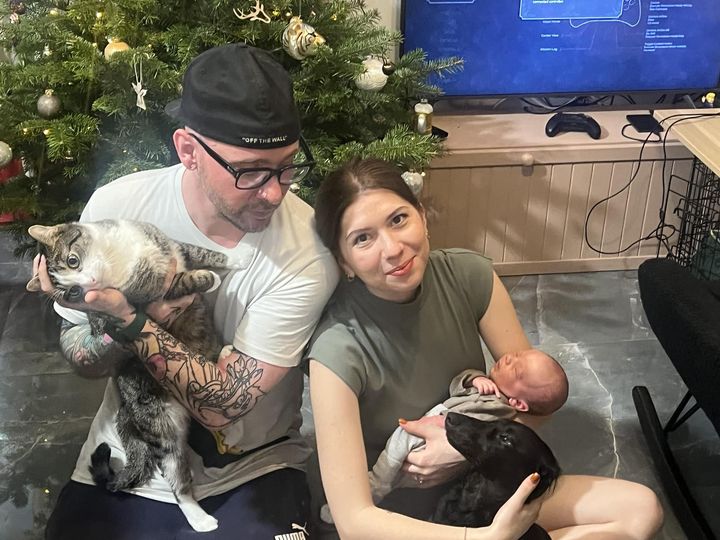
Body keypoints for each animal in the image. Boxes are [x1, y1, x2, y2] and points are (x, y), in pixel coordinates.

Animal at [27, 219, 232, 532]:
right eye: (72, 294)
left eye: (73, 261)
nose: (88, 286)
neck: (117, 257)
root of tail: (127, 408)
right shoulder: (147, 296)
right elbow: (178, 282)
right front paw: (208, 278)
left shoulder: (167, 244)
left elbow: (201, 251)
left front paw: (236, 257)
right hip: (163, 430)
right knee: (176, 479)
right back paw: (200, 519)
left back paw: (224, 356)